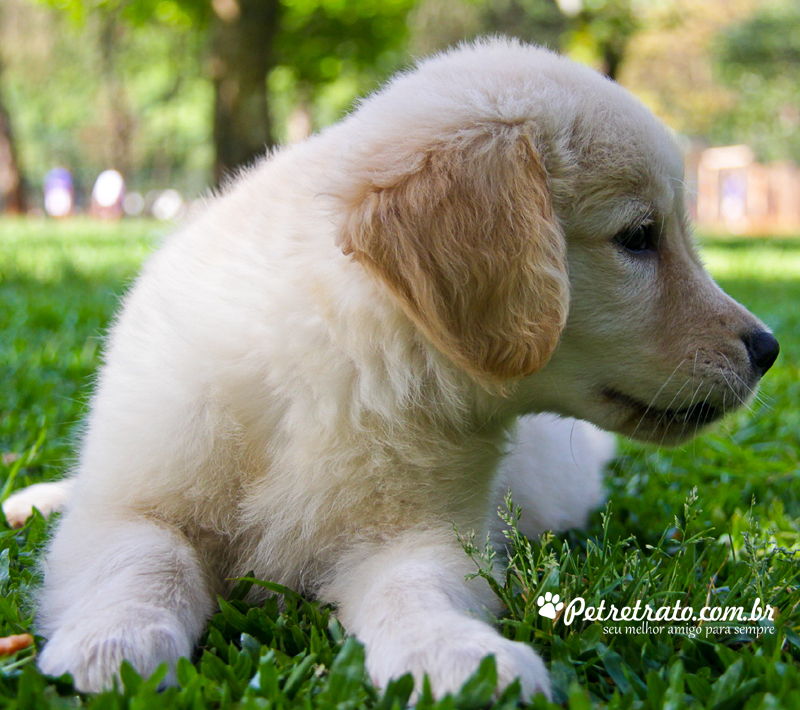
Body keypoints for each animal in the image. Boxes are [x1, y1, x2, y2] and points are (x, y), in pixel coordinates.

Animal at [9, 40, 780, 700]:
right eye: (639, 237)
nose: (768, 348)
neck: (336, 353)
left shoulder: (423, 537)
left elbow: (416, 591)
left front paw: (459, 658)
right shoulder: (135, 501)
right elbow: (145, 560)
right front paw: (114, 643)